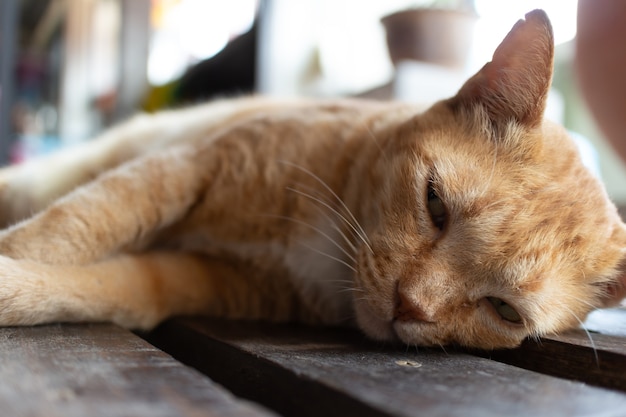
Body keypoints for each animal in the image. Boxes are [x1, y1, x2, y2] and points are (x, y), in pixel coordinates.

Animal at [0, 10, 620, 348]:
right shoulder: (184, 167)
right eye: (435, 204)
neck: (326, 243)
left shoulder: (196, 278)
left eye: (504, 311)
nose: (408, 306)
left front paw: (19, 287)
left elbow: (101, 286)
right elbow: (73, 226)